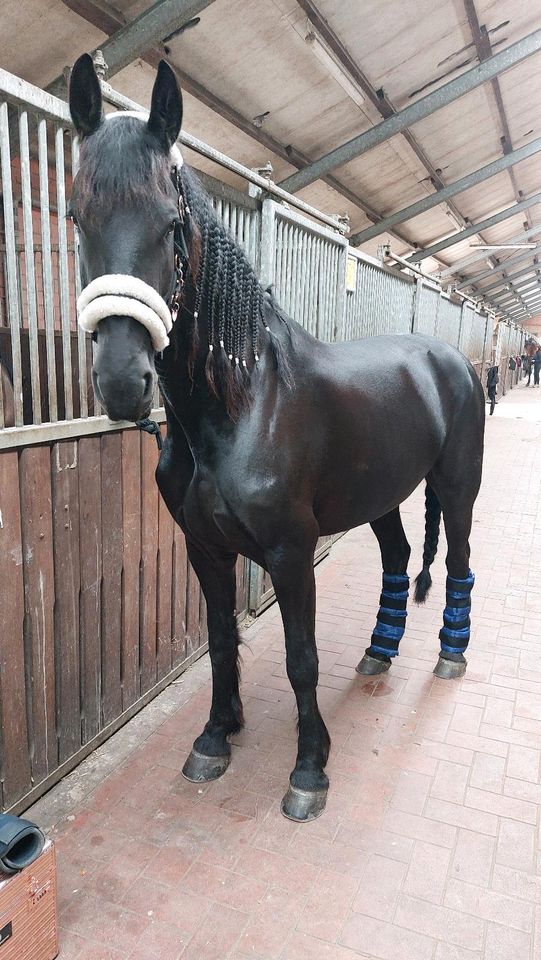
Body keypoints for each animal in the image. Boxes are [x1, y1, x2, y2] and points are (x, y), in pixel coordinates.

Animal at [68, 56, 486, 820]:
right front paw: (214, 737)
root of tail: (449, 360)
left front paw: (310, 769)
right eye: (76, 216)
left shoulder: (290, 555)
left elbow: (301, 659)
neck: (238, 410)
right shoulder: (204, 548)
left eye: (170, 223)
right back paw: (380, 652)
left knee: (460, 561)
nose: (121, 382)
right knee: (398, 556)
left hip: (456, 487)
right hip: (381, 497)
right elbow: (220, 641)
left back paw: (450, 652)